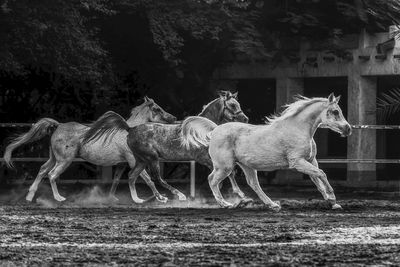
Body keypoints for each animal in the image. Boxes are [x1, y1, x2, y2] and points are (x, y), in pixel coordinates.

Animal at [3, 98, 175, 203]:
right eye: (157, 109)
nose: (173, 118)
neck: (129, 131)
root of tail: (58, 126)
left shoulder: (121, 164)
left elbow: (117, 180)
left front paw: (112, 198)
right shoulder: (134, 161)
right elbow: (148, 179)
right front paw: (160, 198)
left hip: (54, 158)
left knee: (42, 170)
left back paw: (29, 196)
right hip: (64, 160)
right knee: (52, 175)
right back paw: (59, 198)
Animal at [81, 91, 250, 204]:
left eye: (238, 104)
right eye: (232, 105)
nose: (245, 118)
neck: (201, 129)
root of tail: (130, 129)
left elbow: (229, 173)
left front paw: (236, 194)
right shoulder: (203, 158)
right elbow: (229, 173)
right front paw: (239, 194)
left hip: (141, 160)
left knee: (132, 176)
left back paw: (141, 199)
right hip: (152, 158)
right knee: (156, 178)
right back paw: (175, 196)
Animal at [183, 94, 352, 211]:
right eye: (335, 111)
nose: (348, 129)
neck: (298, 129)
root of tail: (215, 129)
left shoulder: (310, 161)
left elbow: (317, 179)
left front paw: (332, 203)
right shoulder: (297, 162)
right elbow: (322, 174)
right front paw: (332, 198)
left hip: (246, 166)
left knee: (253, 184)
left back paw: (272, 205)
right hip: (225, 167)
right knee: (212, 180)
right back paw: (225, 204)